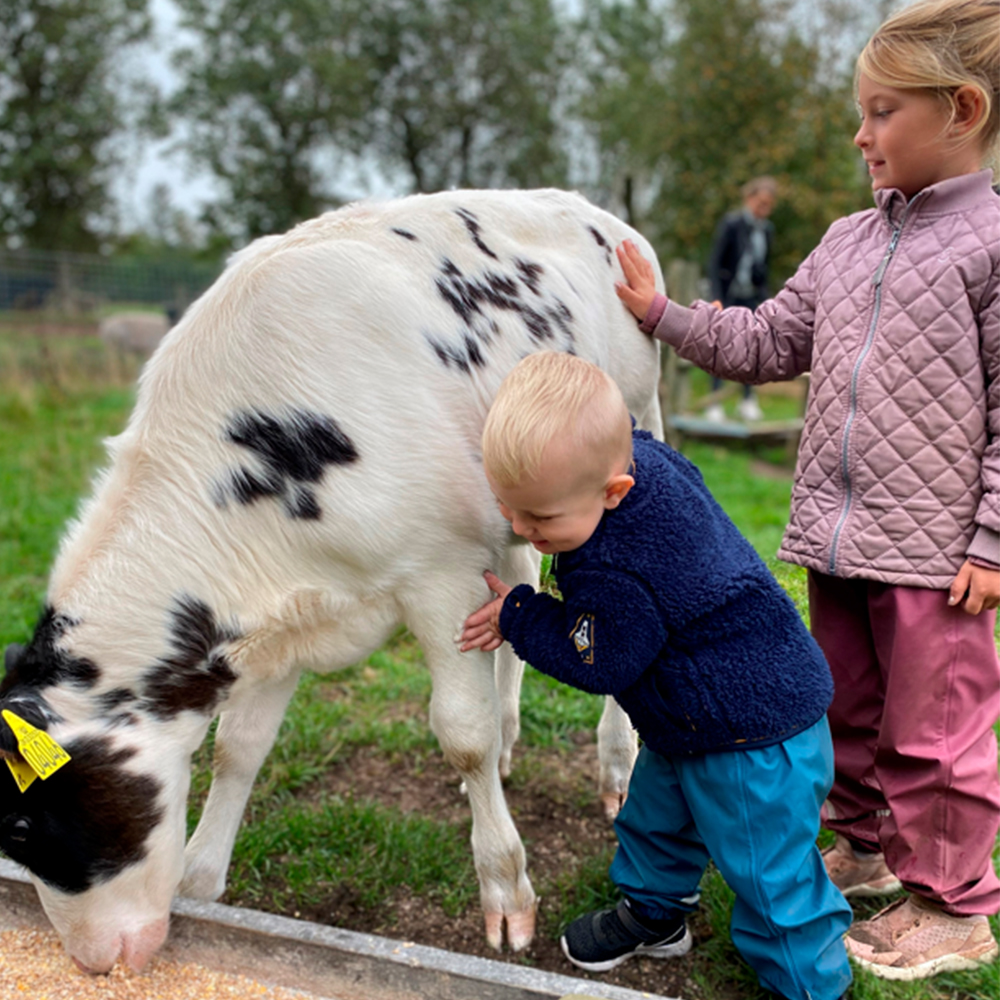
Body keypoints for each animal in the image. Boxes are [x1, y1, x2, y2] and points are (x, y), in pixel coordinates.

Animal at [0, 191, 664, 972]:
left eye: (19, 824)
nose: (92, 961)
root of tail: (587, 206)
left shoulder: (438, 570)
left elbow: (460, 733)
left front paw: (506, 894)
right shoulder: (275, 619)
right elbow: (238, 746)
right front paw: (200, 880)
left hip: (634, 424)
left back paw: (615, 766)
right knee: (518, 588)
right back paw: (511, 741)